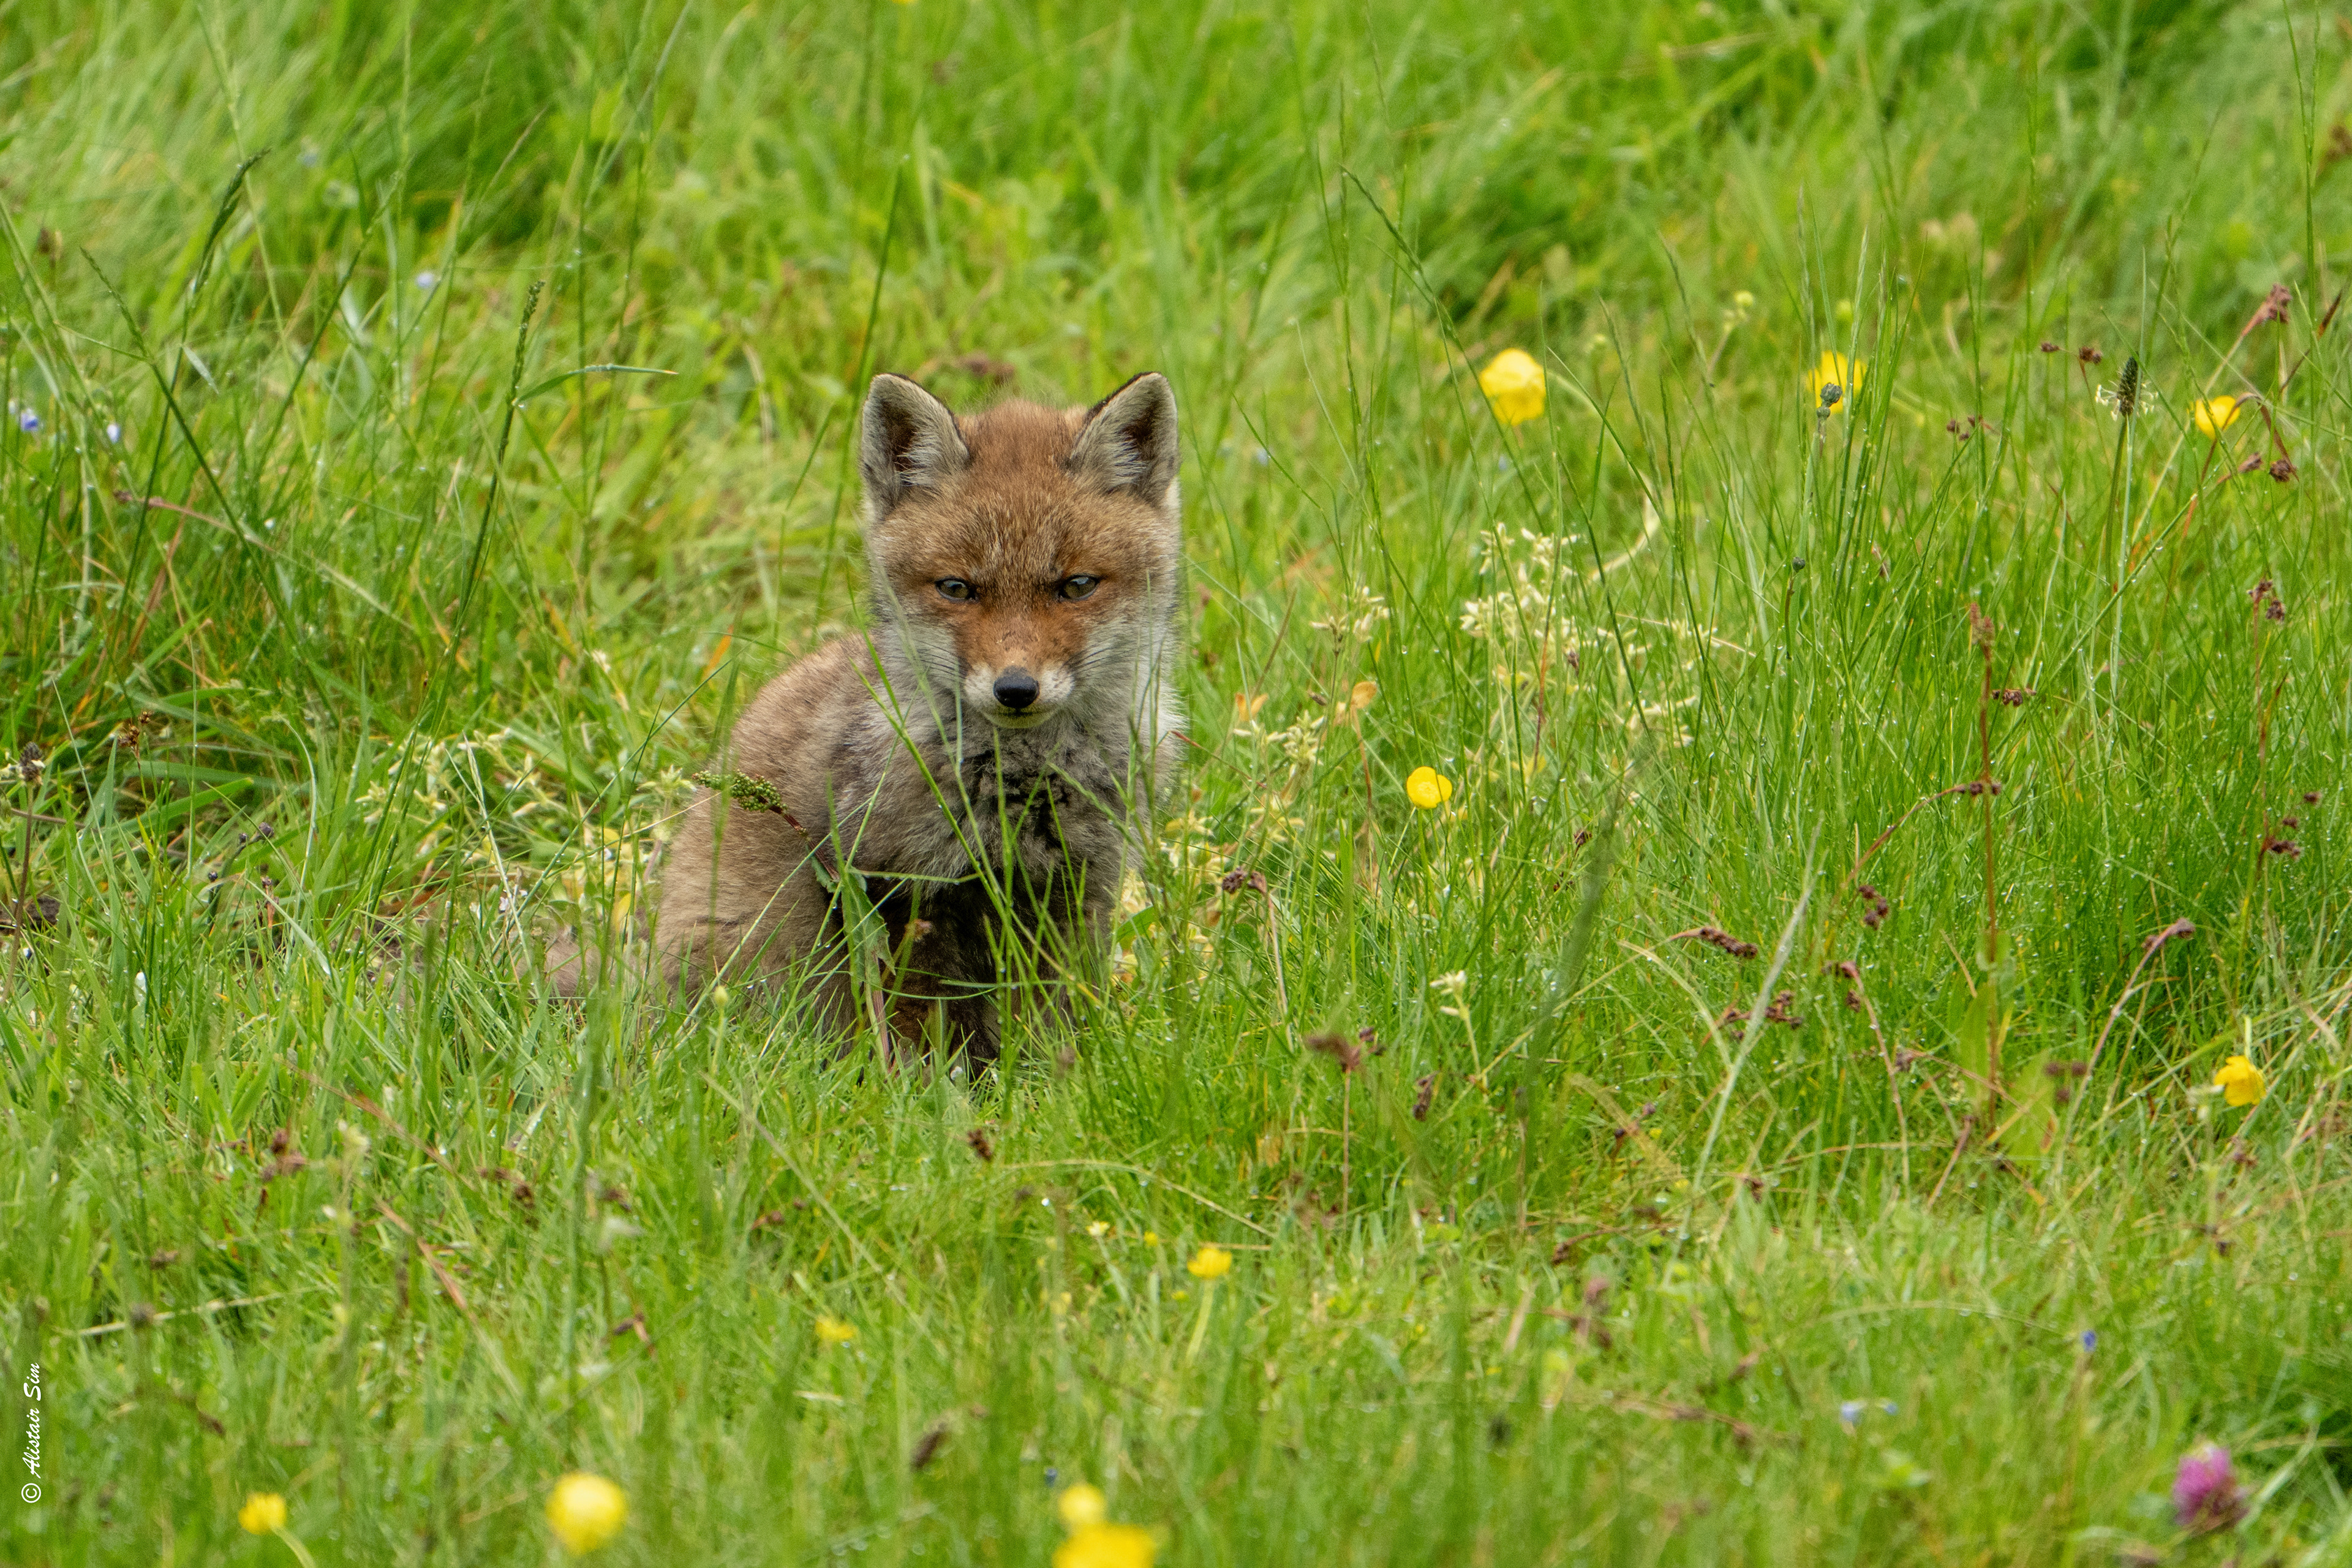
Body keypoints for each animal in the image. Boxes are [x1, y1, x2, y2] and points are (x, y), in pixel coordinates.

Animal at [642, 369, 1186, 1064]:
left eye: (1077, 586)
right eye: (957, 589)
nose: (1016, 688)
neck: (1023, 786)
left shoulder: (1077, 888)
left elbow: (1047, 1021)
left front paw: (1054, 1078)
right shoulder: (894, 889)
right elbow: (919, 1030)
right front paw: (920, 1089)